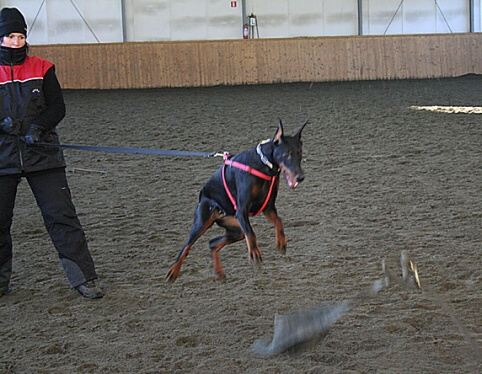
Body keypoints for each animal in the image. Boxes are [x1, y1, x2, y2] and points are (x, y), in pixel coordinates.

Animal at [167, 120, 308, 284]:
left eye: (299, 153)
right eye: (286, 154)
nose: (300, 177)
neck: (262, 164)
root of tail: (202, 195)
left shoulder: (268, 207)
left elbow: (279, 221)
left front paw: (281, 242)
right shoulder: (242, 210)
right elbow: (251, 233)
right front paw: (254, 253)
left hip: (235, 228)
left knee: (213, 243)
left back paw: (219, 272)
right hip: (203, 221)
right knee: (186, 247)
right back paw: (173, 272)